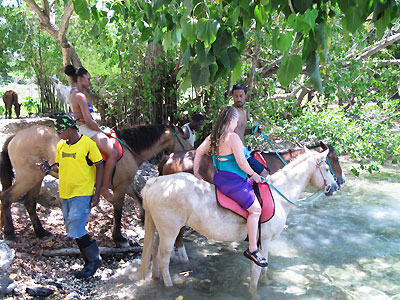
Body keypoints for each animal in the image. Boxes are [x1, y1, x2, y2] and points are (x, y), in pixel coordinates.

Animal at [0, 123, 194, 245]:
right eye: (185, 138)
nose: (192, 152)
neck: (130, 149)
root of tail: (16, 136)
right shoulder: (120, 187)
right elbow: (118, 209)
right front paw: (118, 237)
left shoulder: (125, 184)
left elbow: (138, 198)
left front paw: (143, 218)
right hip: (27, 178)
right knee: (7, 198)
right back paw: (9, 233)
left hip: (37, 177)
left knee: (29, 203)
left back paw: (41, 232)